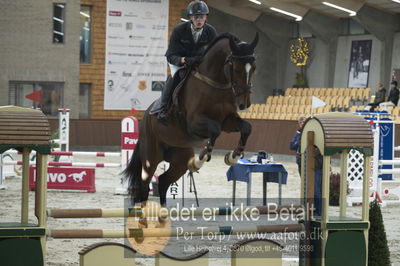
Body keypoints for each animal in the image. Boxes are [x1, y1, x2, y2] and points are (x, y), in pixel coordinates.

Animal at [124, 32, 260, 207]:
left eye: (254, 68)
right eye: (236, 68)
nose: (244, 104)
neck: (215, 83)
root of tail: (146, 116)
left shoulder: (228, 121)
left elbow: (246, 127)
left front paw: (233, 157)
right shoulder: (194, 123)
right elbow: (215, 130)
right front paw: (198, 161)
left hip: (179, 160)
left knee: (163, 181)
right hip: (151, 157)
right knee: (145, 185)